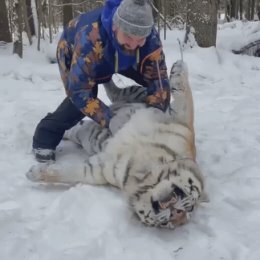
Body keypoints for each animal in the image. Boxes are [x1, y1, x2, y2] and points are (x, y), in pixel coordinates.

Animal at [26, 60, 205, 229]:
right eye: (186, 203)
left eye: (167, 224)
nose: (175, 214)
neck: (145, 172)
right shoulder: (181, 123)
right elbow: (186, 97)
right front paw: (179, 69)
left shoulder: (99, 169)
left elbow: (69, 172)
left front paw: (35, 173)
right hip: (138, 93)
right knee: (116, 91)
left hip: (85, 134)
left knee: (77, 126)